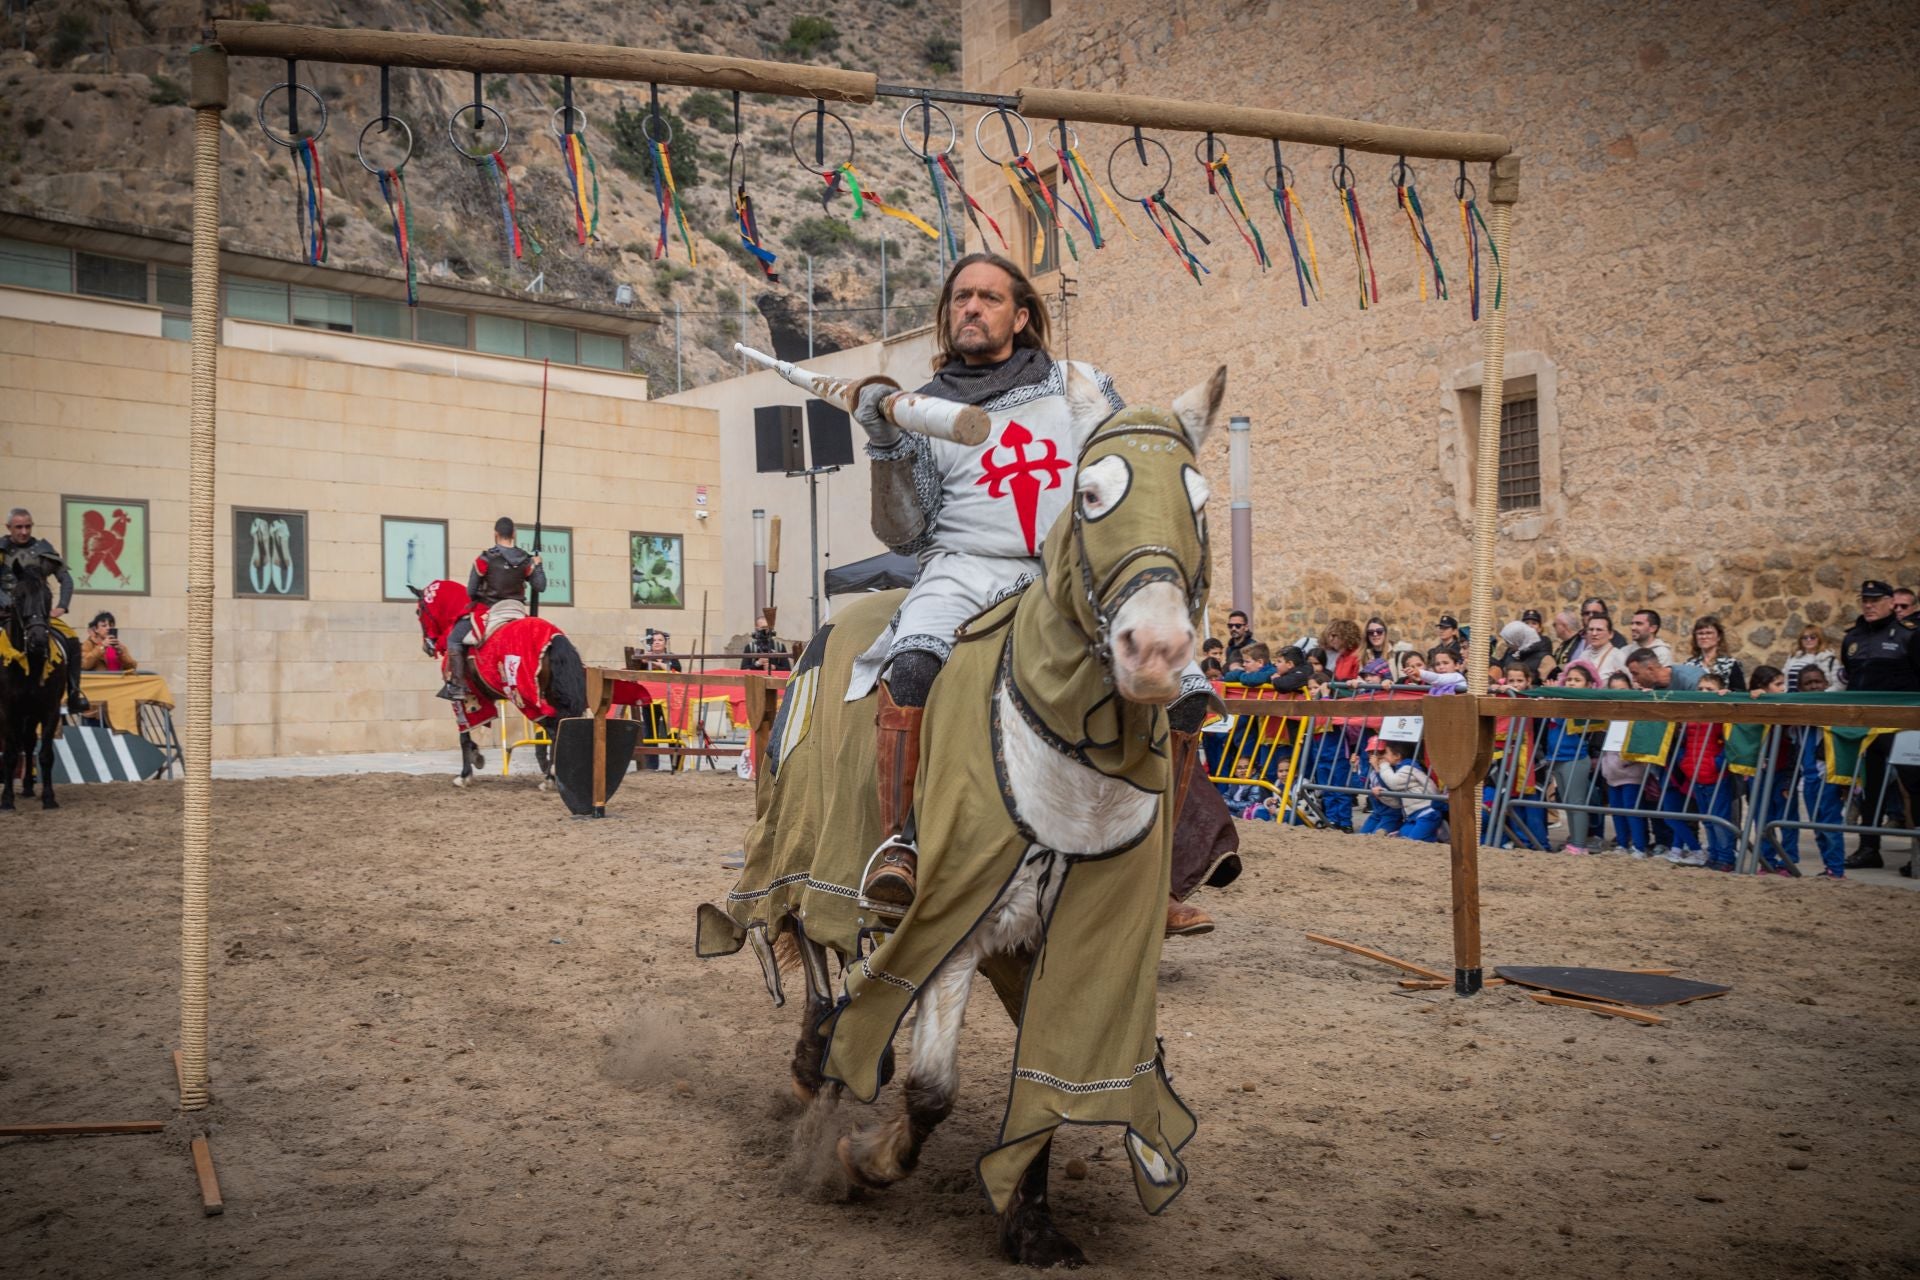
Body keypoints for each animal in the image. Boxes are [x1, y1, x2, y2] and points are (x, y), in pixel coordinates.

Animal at [1, 564, 70, 817]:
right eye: (18, 596)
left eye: (48, 597)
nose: (38, 639)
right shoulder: (7, 711)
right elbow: (10, 754)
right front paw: (7, 800)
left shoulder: (49, 710)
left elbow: (46, 754)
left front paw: (48, 798)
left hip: (30, 715)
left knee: (30, 742)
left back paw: (30, 788)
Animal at [405, 583, 583, 786]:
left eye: (418, 611)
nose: (427, 647)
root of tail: (554, 640)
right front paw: (476, 756)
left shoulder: (462, 700)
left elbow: (464, 735)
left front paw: (464, 774)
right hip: (552, 697)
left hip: (526, 699)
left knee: (553, 730)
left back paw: (550, 778)